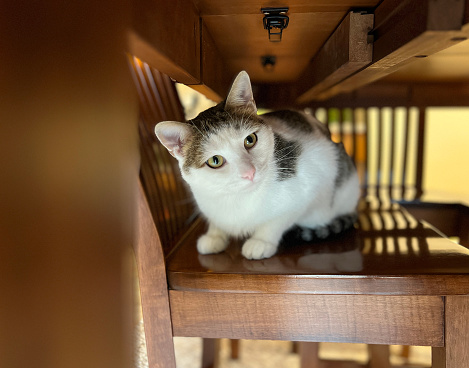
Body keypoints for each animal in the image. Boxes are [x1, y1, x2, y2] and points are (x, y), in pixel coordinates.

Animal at [154, 69, 358, 258]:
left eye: (250, 140)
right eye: (215, 161)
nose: (249, 172)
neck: (238, 197)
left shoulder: (313, 178)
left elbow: (279, 219)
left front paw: (261, 241)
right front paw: (214, 235)